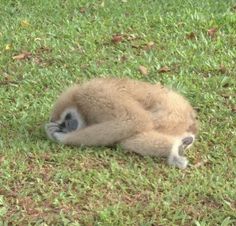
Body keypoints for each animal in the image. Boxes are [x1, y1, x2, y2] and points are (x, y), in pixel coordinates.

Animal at [45, 77, 198, 168]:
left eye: (67, 118)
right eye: (62, 125)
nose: (68, 127)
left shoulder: (93, 94)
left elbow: (135, 119)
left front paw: (62, 138)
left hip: (171, 113)